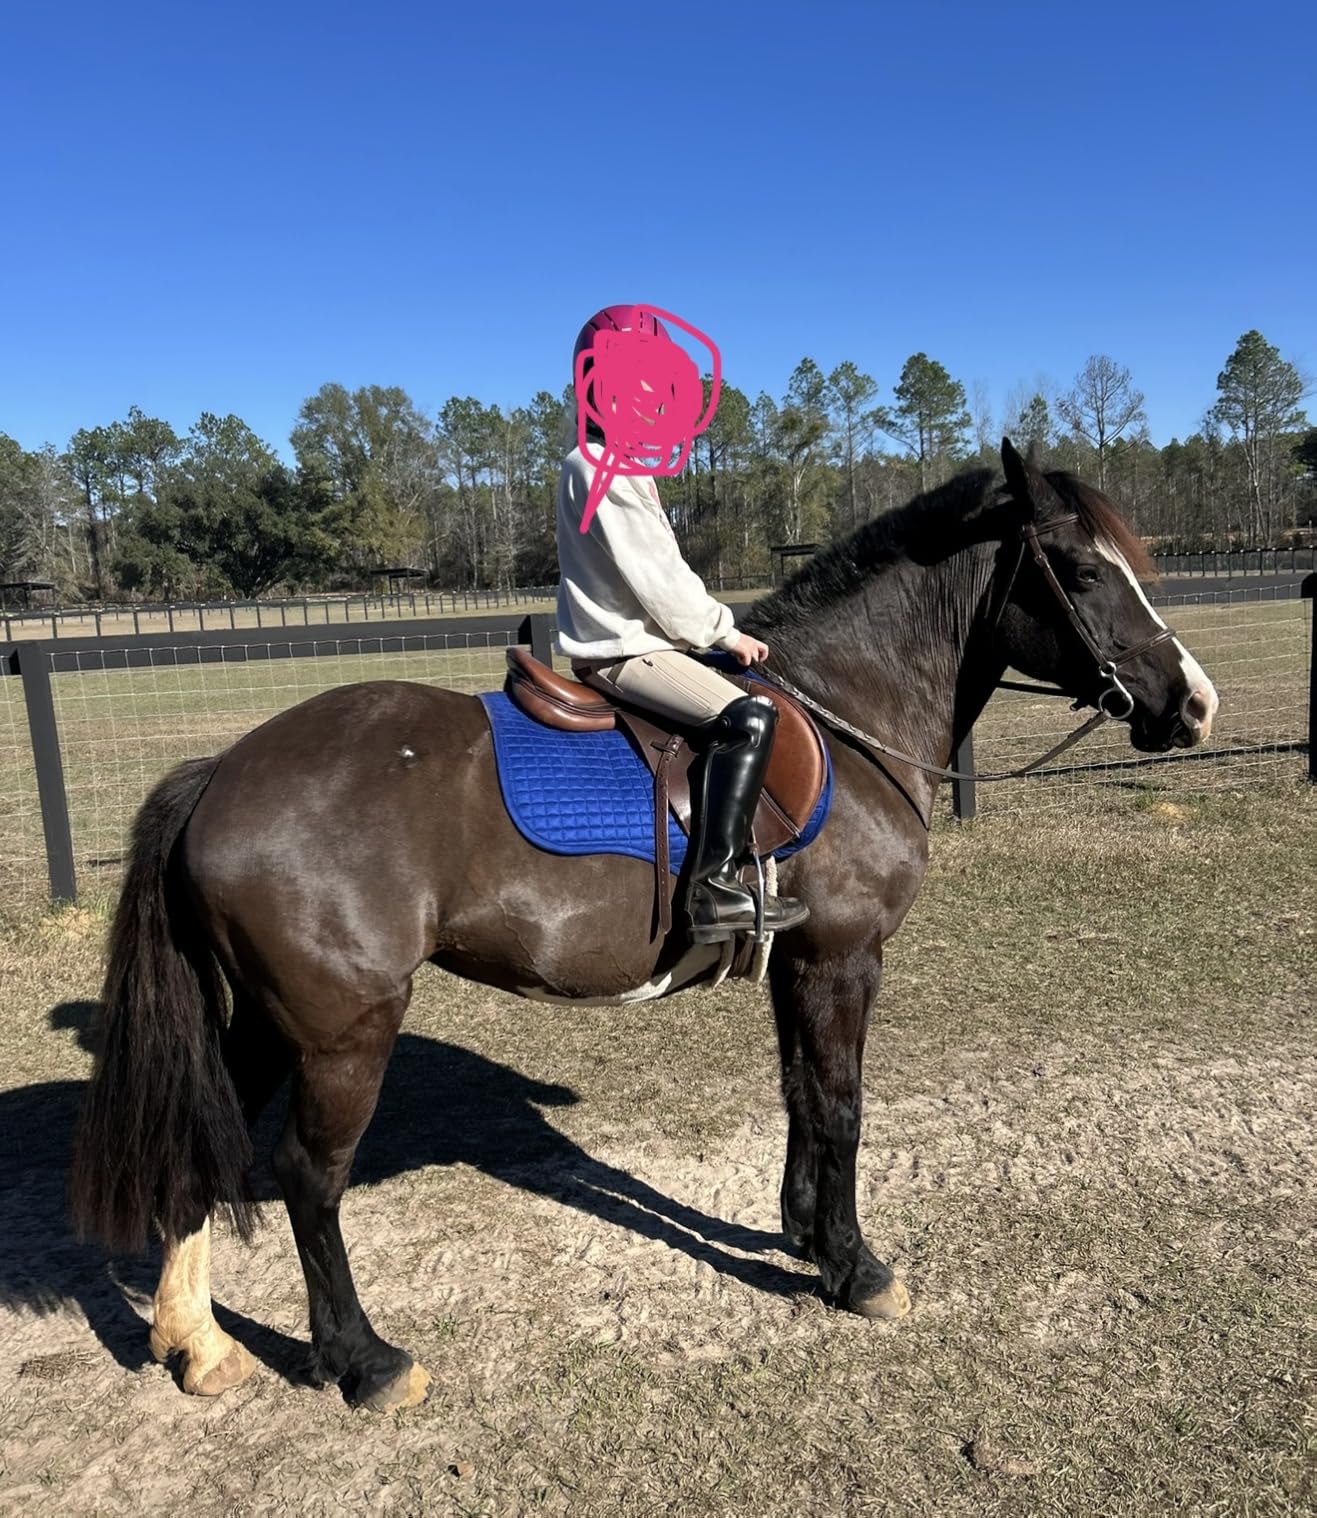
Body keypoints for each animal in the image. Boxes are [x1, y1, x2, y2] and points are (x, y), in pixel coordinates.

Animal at [70, 440, 1218, 1413]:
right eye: (1079, 571)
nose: (1194, 704)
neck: (847, 714)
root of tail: (224, 771)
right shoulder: (844, 959)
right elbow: (843, 1108)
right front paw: (856, 1269)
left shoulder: (798, 960)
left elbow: (801, 1094)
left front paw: (803, 1233)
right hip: (342, 1032)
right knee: (310, 1181)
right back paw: (367, 1362)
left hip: (271, 1023)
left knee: (203, 1143)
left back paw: (197, 1343)